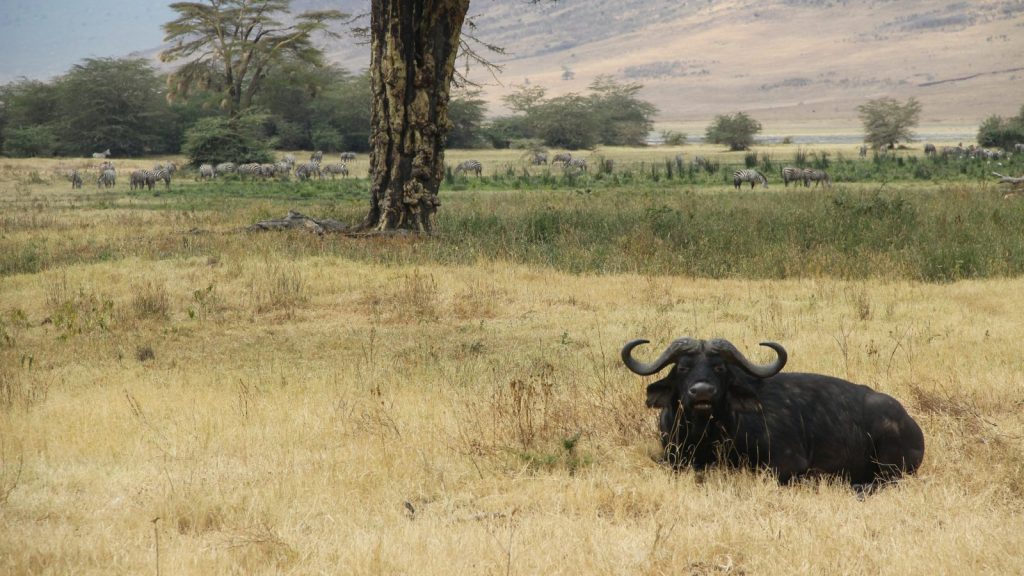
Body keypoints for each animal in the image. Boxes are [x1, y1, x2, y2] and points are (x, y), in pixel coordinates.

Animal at [622, 336, 929, 483]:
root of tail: (910, 423)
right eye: (683, 368)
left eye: (719, 368)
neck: (706, 434)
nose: (702, 392)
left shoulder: (788, 463)